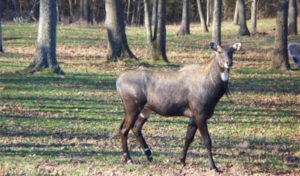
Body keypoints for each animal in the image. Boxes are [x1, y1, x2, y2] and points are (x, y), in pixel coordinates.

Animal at [115, 42, 241, 171]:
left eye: (232, 51)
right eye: (219, 51)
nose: (229, 62)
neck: (210, 85)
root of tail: (118, 81)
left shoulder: (193, 116)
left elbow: (188, 138)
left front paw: (182, 160)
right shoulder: (200, 114)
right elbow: (207, 140)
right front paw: (214, 166)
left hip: (145, 110)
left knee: (135, 128)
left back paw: (149, 156)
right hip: (133, 108)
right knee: (124, 130)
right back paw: (128, 159)